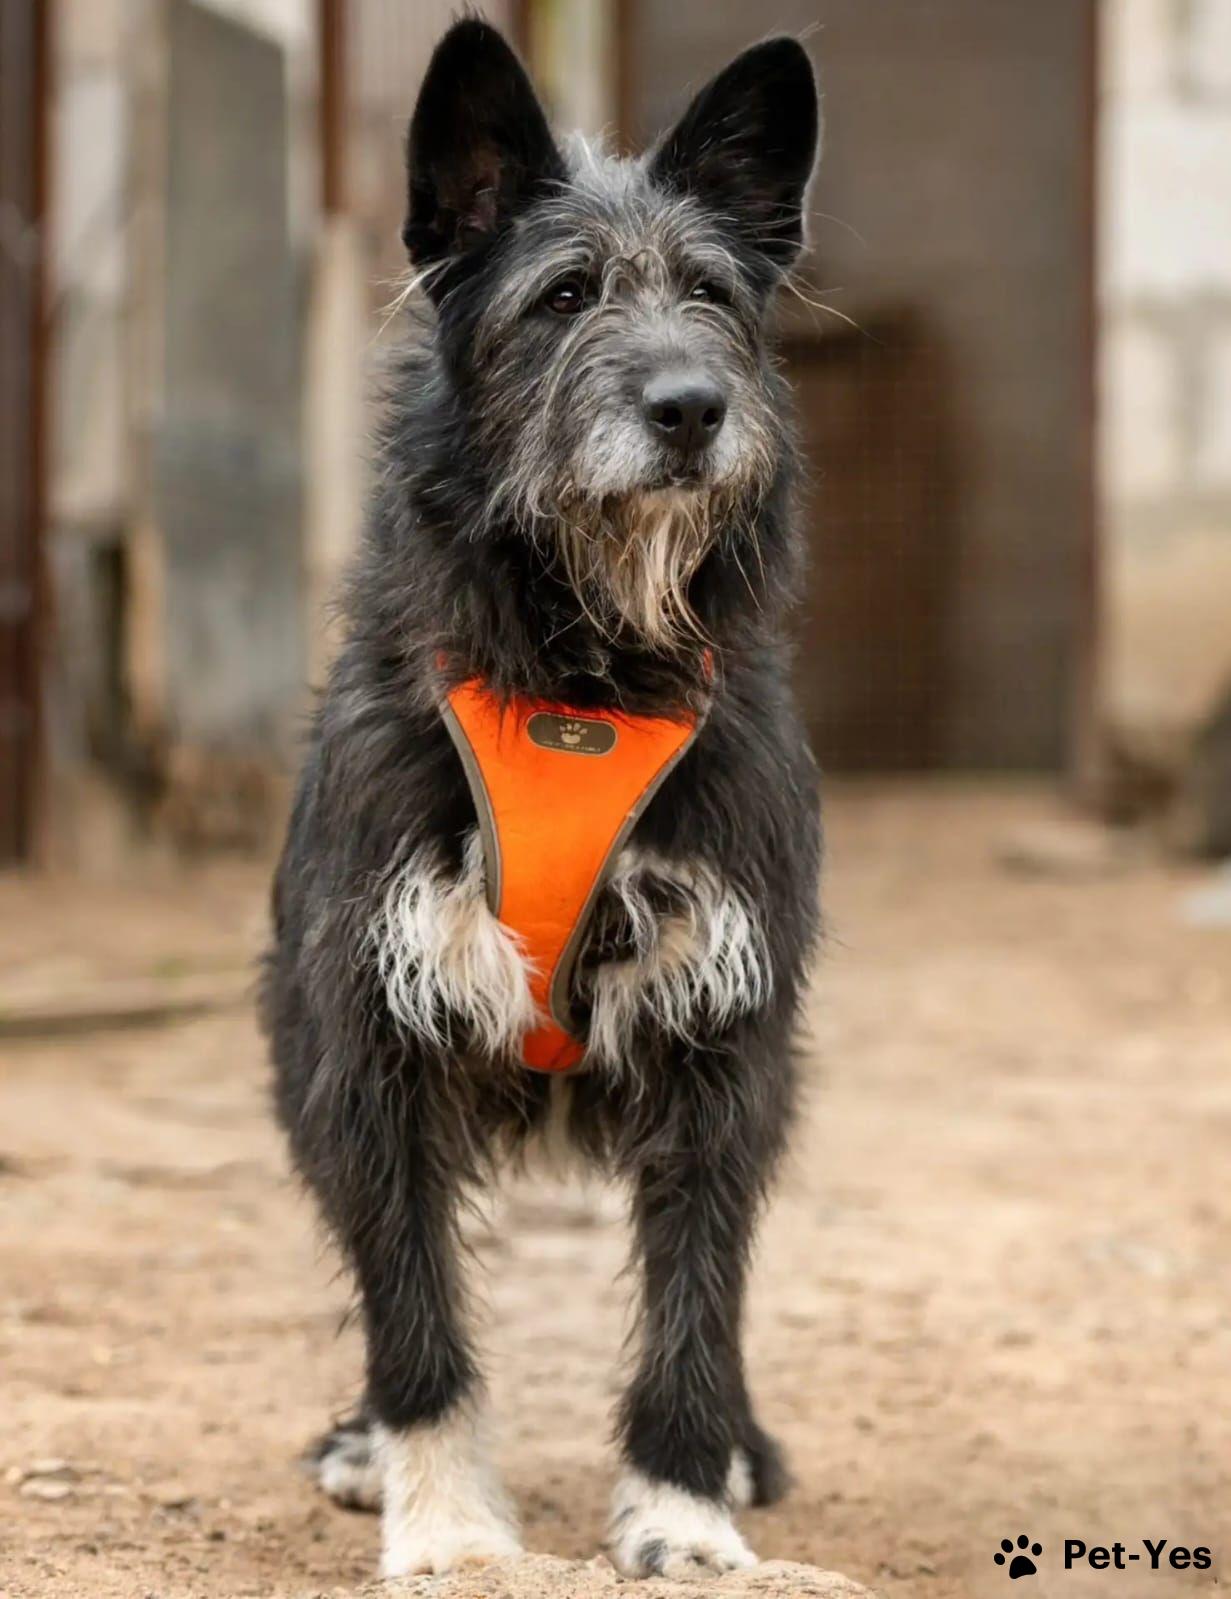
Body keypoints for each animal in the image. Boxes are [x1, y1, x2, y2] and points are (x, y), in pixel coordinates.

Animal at [262, 19, 822, 1582]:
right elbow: (412, 1309)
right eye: (563, 296)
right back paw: (361, 1444)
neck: (585, 667)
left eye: (710, 295)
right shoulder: (369, 1046)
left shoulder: (724, 1045)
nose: (689, 409)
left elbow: (696, 1299)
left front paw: (684, 1502)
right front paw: (445, 1516)